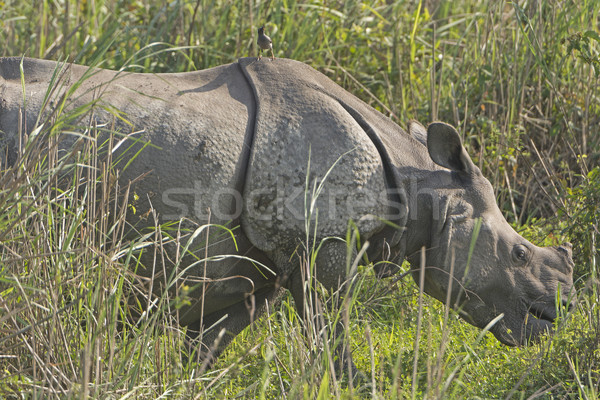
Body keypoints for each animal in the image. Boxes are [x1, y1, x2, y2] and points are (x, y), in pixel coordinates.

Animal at [0, 57, 572, 360]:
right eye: (519, 255)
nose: (555, 317)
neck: (422, 188)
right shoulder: (324, 245)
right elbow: (333, 340)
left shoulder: (258, 268)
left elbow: (206, 349)